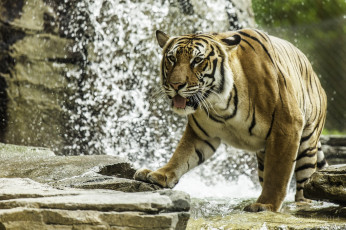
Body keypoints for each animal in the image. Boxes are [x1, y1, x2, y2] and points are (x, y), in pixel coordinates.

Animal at [134, 27, 328, 211]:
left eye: (197, 60)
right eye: (172, 58)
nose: (175, 85)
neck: (221, 103)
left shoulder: (286, 126)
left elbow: (278, 173)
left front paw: (266, 204)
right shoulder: (201, 134)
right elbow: (181, 155)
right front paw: (159, 174)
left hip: (306, 145)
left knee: (304, 184)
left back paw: (302, 203)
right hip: (264, 156)